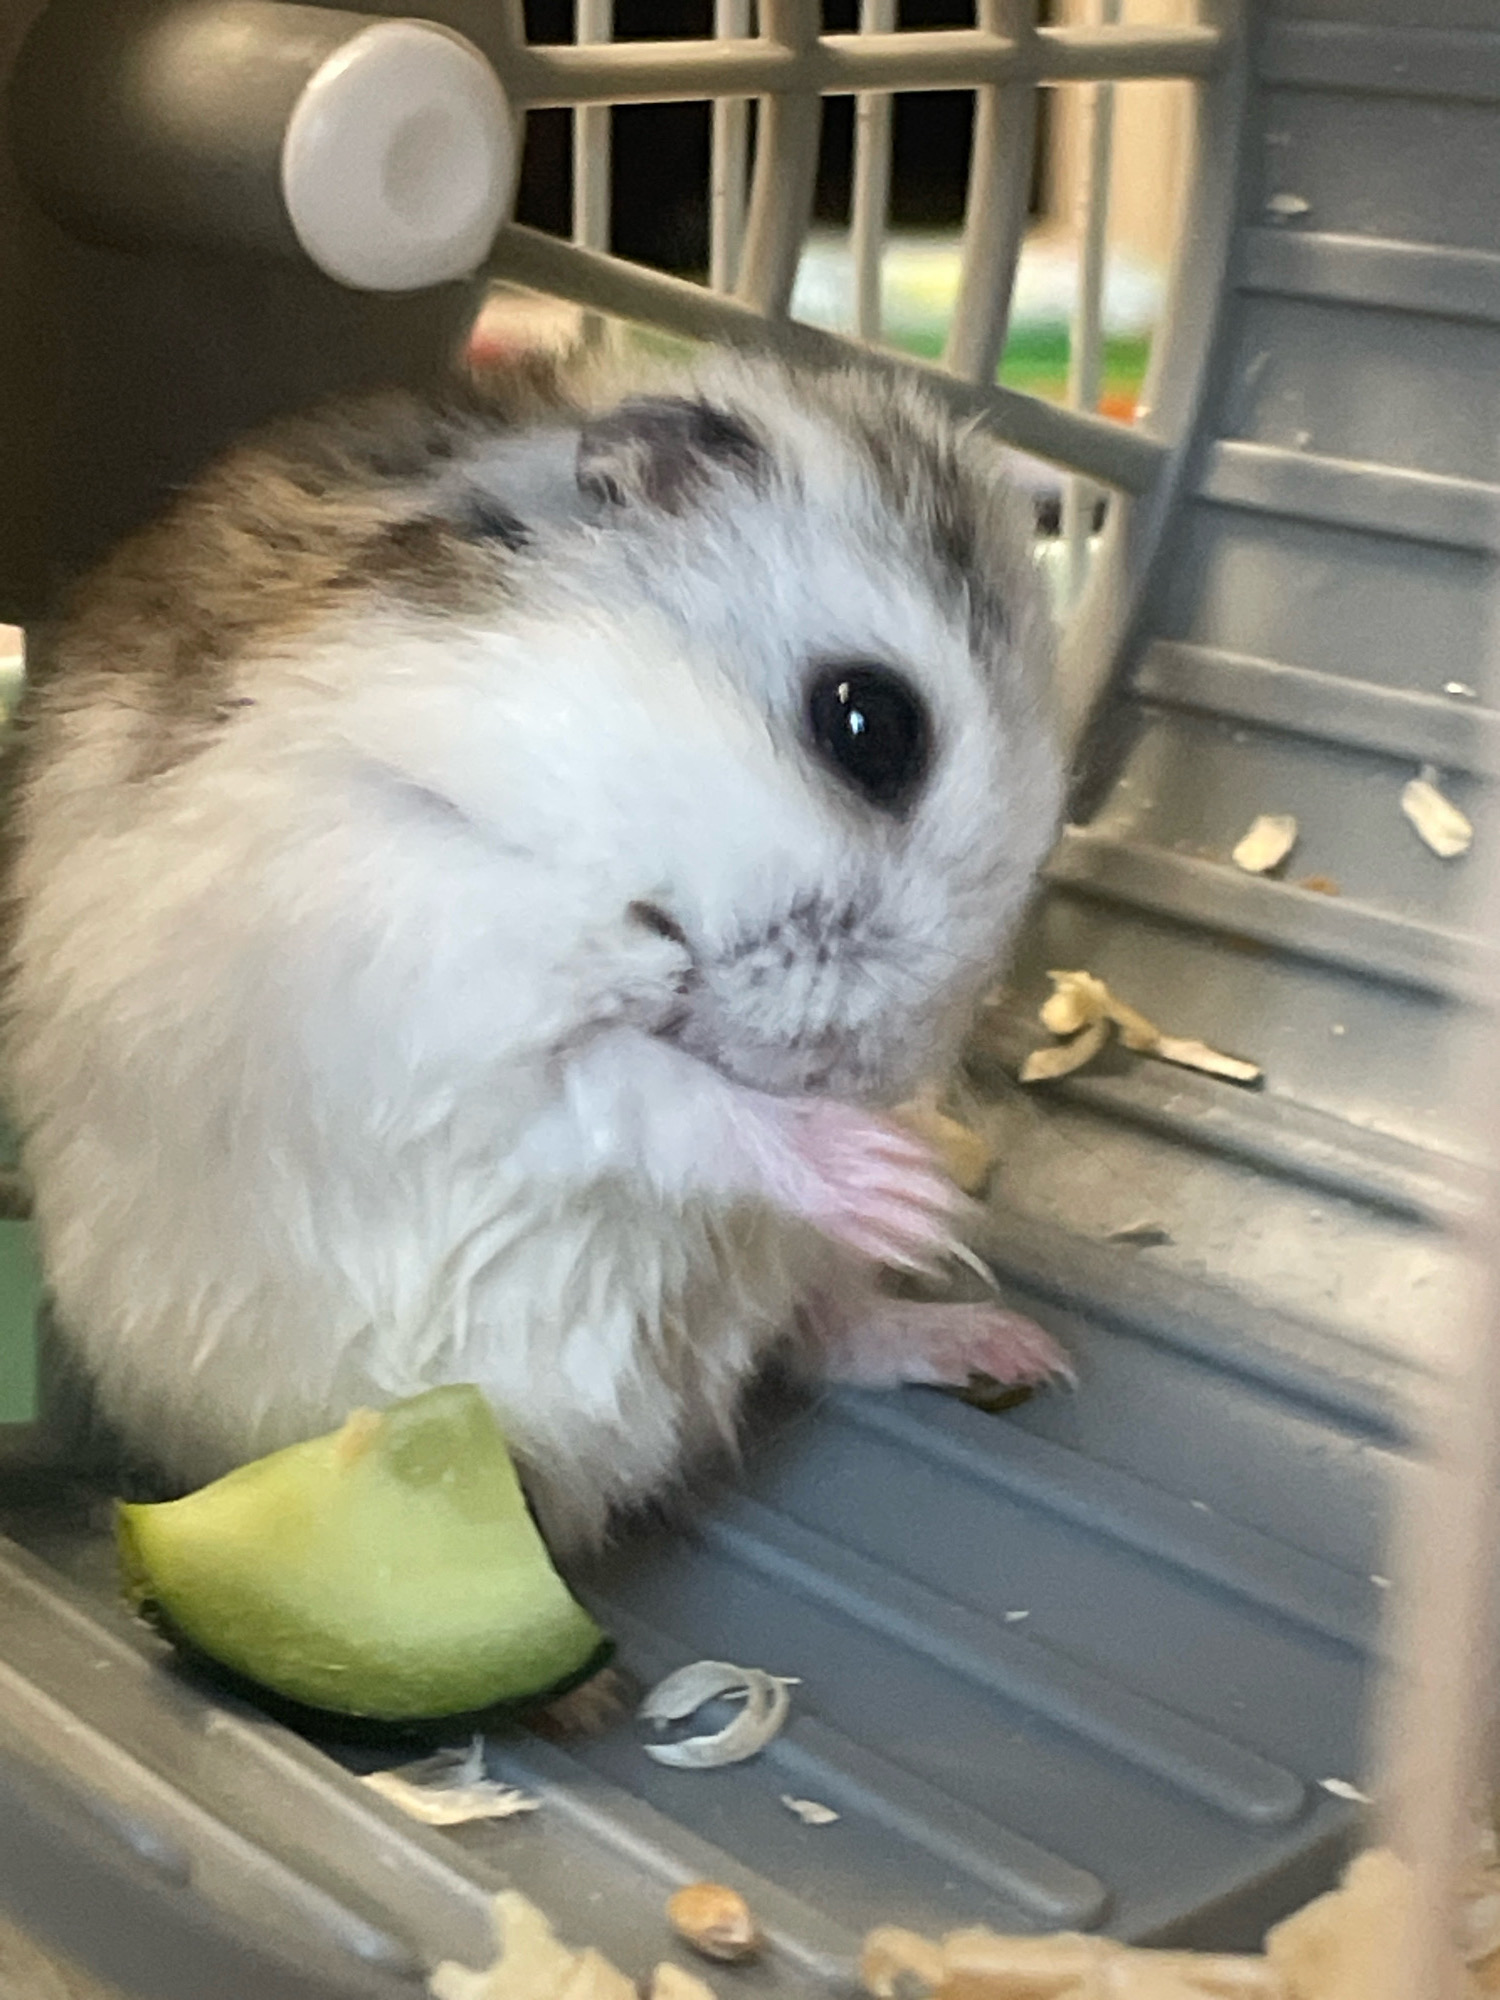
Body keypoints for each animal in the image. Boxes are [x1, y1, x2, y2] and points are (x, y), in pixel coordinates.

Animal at [0, 346, 1066, 1550]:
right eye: (870, 724)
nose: (883, 1077)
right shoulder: (440, 982)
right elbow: (652, 1096)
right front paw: (909, 1187)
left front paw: (933, 1200)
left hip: (772, 1279)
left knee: (822, 1332)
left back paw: (1008, 1341)